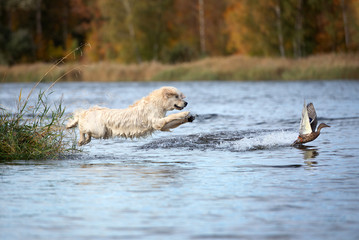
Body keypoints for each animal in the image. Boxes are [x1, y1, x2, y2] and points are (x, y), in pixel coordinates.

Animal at [66, 87, 195, 145]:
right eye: (177, 96)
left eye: (180, 96)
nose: (186, 103)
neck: (157, 104)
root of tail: (87, 112)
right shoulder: (157, 122)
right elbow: (173, 116)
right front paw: (185, 113)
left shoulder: (162, 126)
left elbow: (174, 121)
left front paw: (189, 118)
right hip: (99, 130)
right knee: (81, 128)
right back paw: (81, 139)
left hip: (101, 132)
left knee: (86, 132)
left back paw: (84, 140)